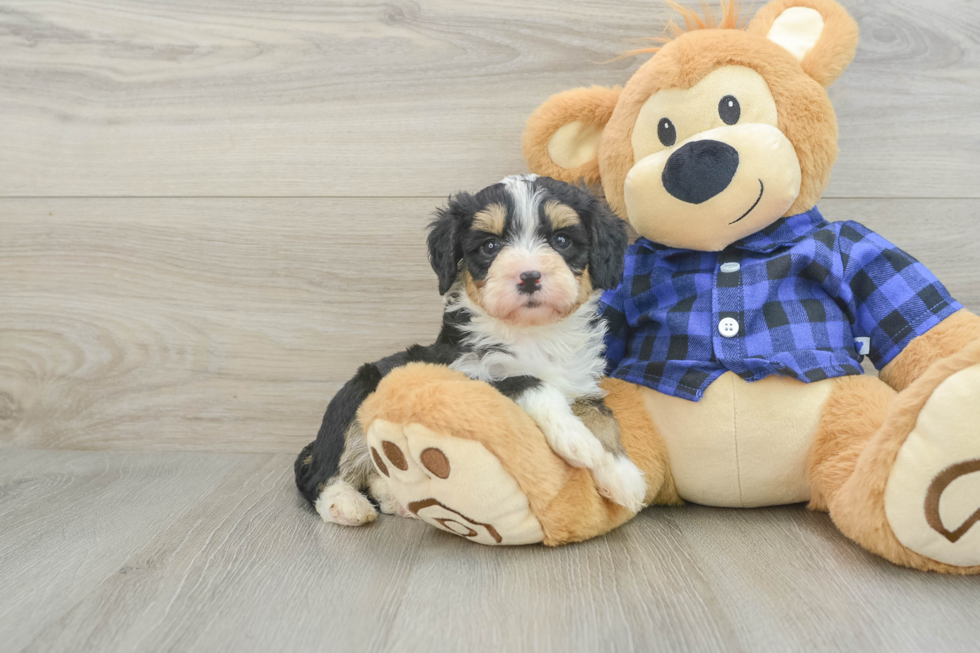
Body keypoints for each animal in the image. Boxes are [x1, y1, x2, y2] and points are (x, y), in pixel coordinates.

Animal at [294, 176, 648, 528]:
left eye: (562, 240)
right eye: (490, 246)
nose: (529, 276)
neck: (532, 333)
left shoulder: (580, 382)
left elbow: (605, 419)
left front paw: (622, 474)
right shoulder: (466, 376)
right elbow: (531, 382)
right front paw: (579, 442)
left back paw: (394, 498)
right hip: (358, 396)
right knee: (320, 475)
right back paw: (345, 503)